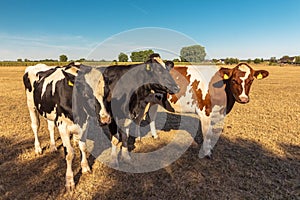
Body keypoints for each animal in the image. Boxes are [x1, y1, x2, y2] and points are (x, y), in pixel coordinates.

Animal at [22, 63, 111, 191]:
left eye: (107, 92)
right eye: (86, 93)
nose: (105, 119)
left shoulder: (85, 123)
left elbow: (83, 147)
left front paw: (85, 167)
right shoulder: (62, 126)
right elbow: (69, 154)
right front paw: (69, 181)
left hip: (48, 111)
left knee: (50, 127)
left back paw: (53, 146)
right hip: (31, 105)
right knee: (35, 126)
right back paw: (38, 148)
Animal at [139, 63, 268, 159]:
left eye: (251, 80)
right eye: (234, 80)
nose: (244, 99)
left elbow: (210, 132)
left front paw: (209, 148)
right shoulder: (204, 112)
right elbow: (207, 133)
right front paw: (206, 153)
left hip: (155, 100)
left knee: (151, 116)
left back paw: (155, 136)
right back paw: (139, 139)